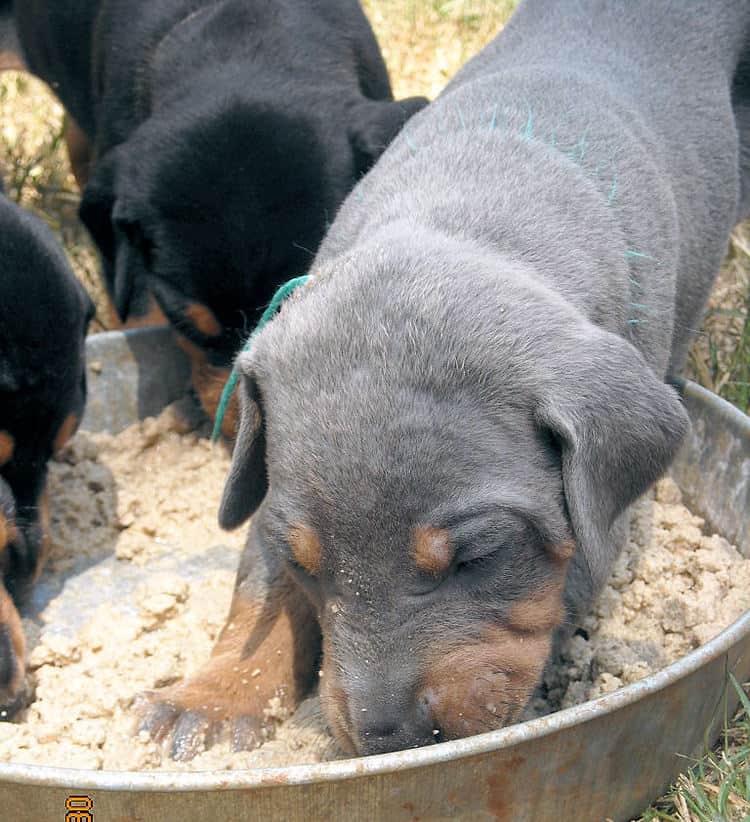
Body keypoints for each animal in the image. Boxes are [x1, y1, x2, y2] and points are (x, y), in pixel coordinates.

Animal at [137, 0, 750, 760]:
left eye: (477, 556)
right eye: (311, 567)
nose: (387, 737)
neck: (473, 206)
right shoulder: (270, 486)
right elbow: (260, 584)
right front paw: (212, 699)